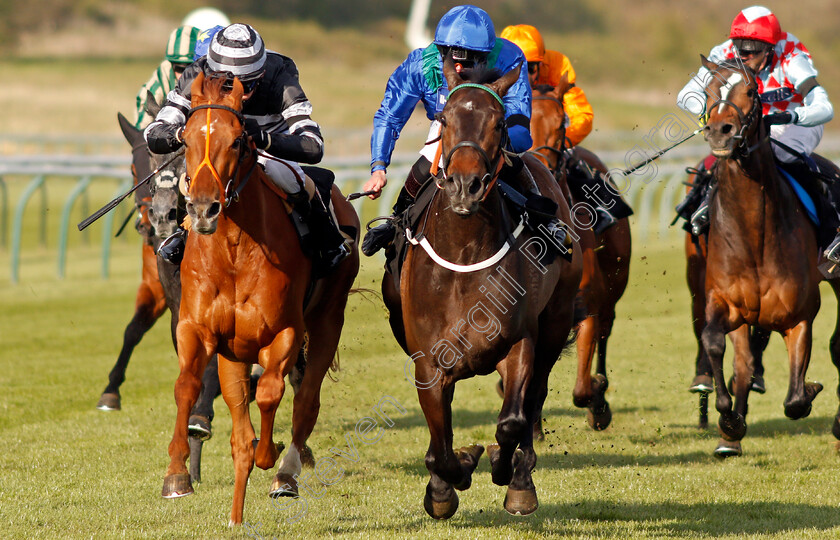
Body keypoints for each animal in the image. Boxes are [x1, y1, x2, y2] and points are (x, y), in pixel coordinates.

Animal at [162, 74, 360, 524]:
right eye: (184, 138)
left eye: (238, 140)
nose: (203, 209)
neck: (235, 250)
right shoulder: (198, 330)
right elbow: (187, 387)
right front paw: (176, 475)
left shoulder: (284, 332)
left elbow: (271, 394)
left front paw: (271, 456)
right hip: (234, 354)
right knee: (240, 428)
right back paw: (235, 515)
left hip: (328, 320)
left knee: (305, 400)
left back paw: (286, 474)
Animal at [382, 61, 584, 520]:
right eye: (444, 118)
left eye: (500, 122)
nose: (465, 185)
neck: (464, 251)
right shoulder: (428, 360)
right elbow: (440, 447)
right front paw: (445, 484)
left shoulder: (519, 341)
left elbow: (511, 421)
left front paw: (503, 467)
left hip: (555, 321)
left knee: (533, 399)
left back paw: (521, 478)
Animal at [528, 78, 632, 430]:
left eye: (561, 123)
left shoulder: (585, 304)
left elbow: (582, 391)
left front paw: (598, 400)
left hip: (615, 280)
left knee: (606, 329)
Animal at [696, 56, 840, 456]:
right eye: (708, 90)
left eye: (750, 91)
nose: (720, 131)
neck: (754, 234)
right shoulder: (726, 303)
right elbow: (717, 345)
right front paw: (729, 422)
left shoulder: (800, 315)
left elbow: (795, 400)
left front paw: (811, 389)